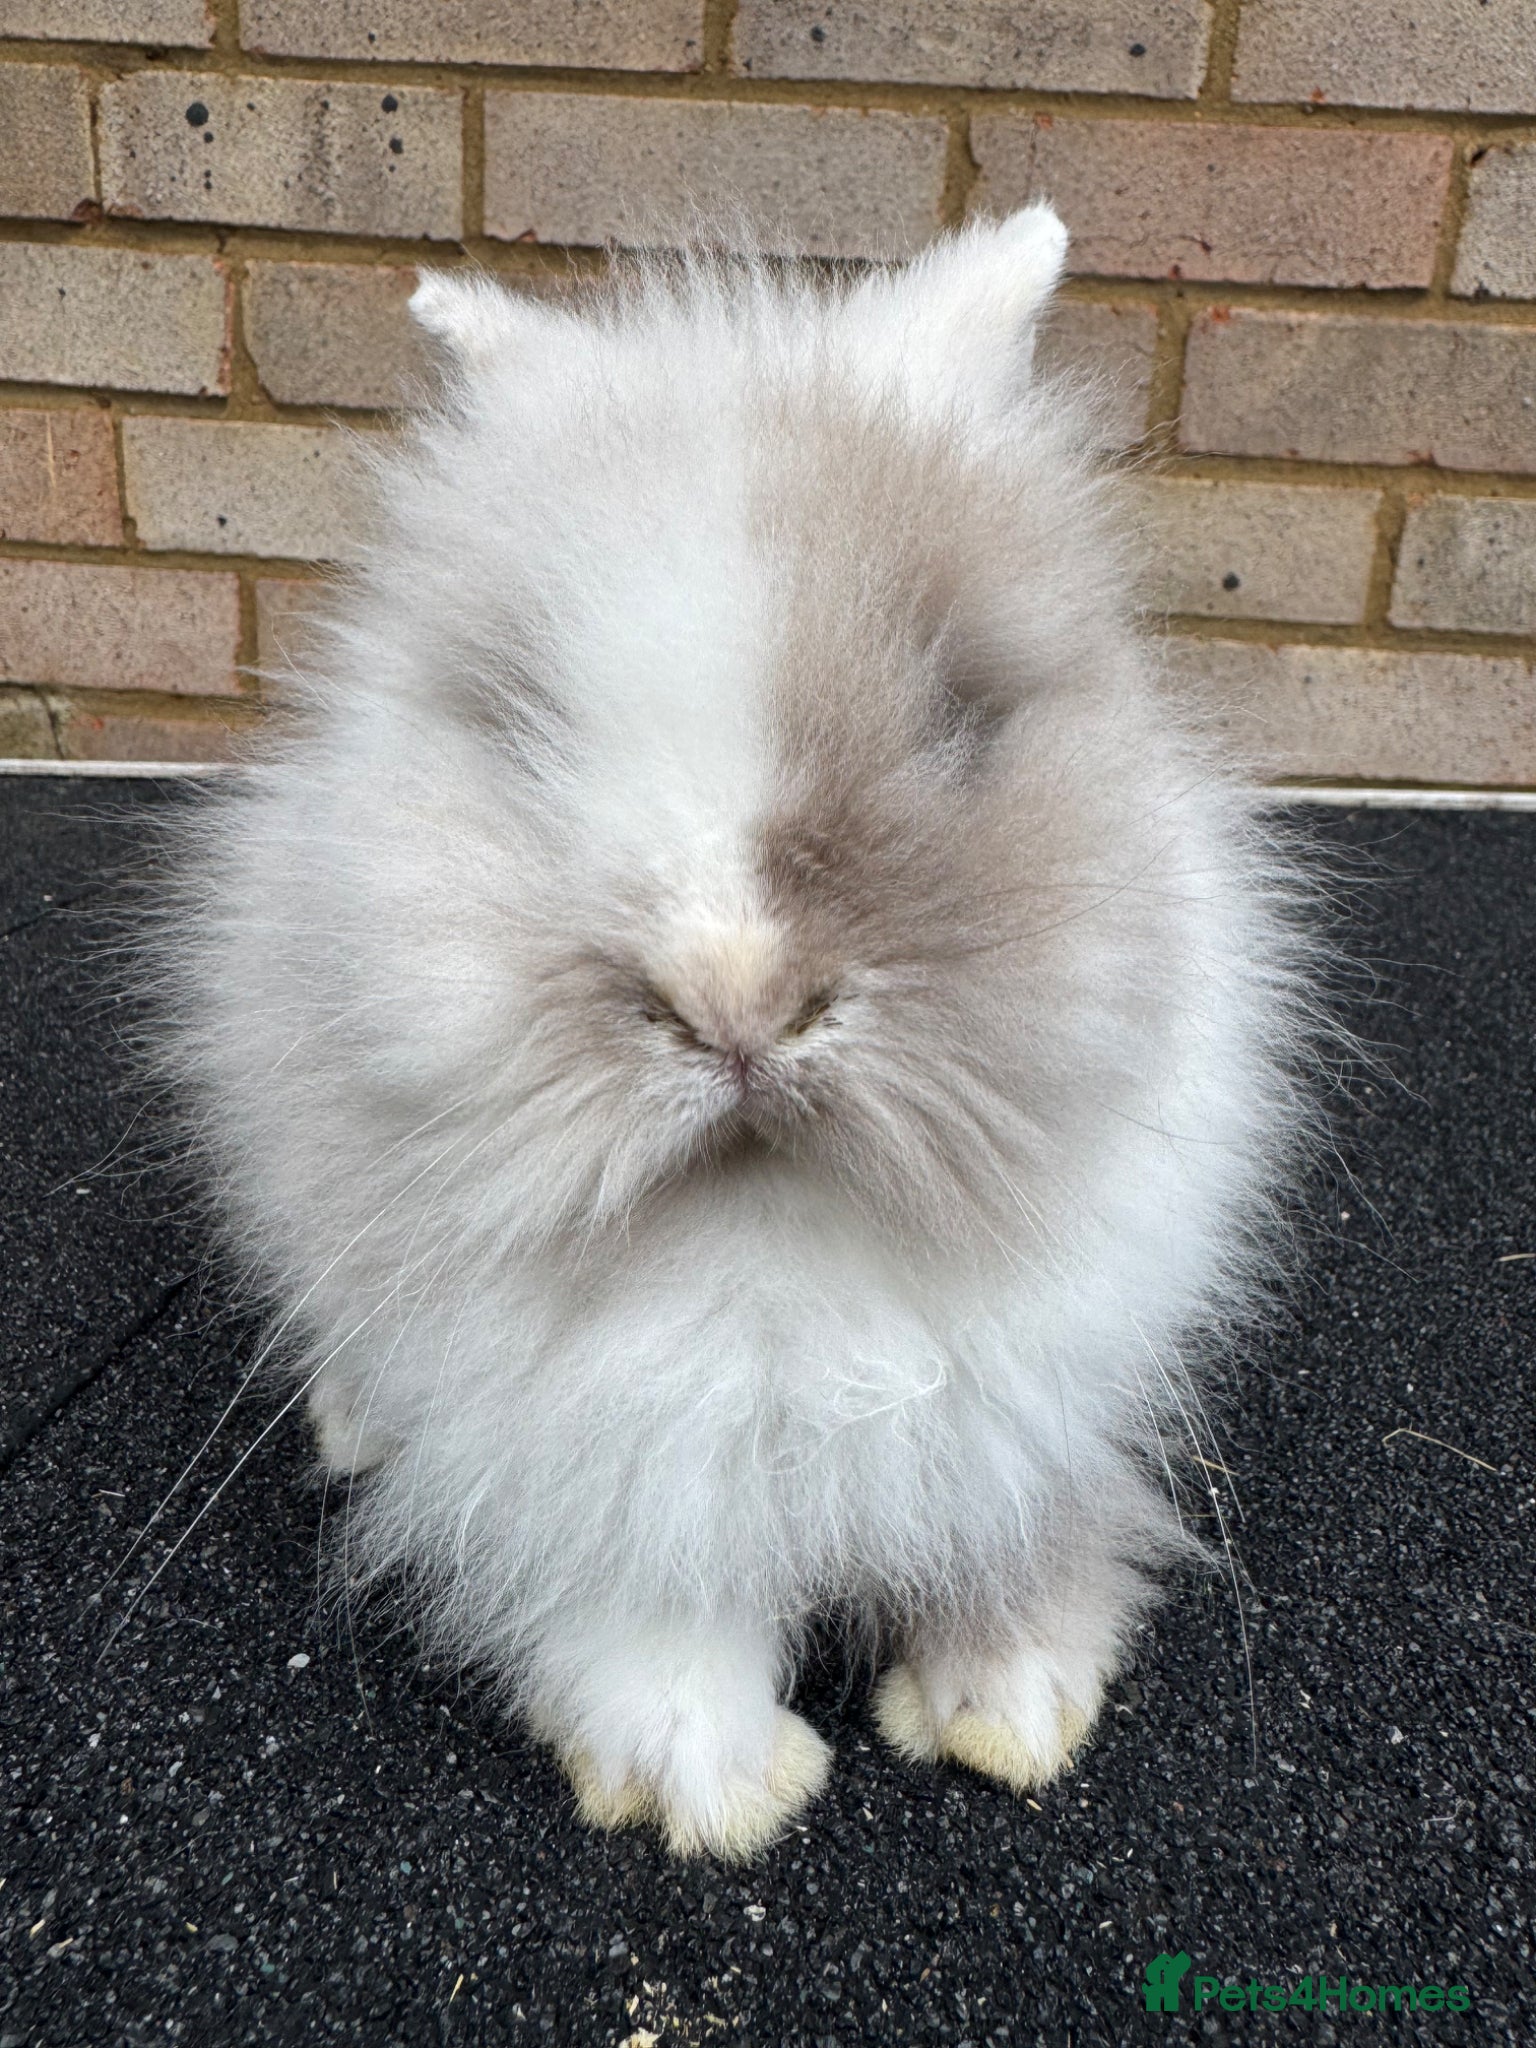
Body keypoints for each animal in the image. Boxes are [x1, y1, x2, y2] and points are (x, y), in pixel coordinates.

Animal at [152, 206, 1318, 1860]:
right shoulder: (595, 1461)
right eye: (522, 725)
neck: (773, 1253)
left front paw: (1013, 1708)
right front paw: (719, 1787)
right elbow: (643, 1606)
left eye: (963, 714)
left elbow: (1009, 1535)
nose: (734, 995)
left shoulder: (1032, 1393)